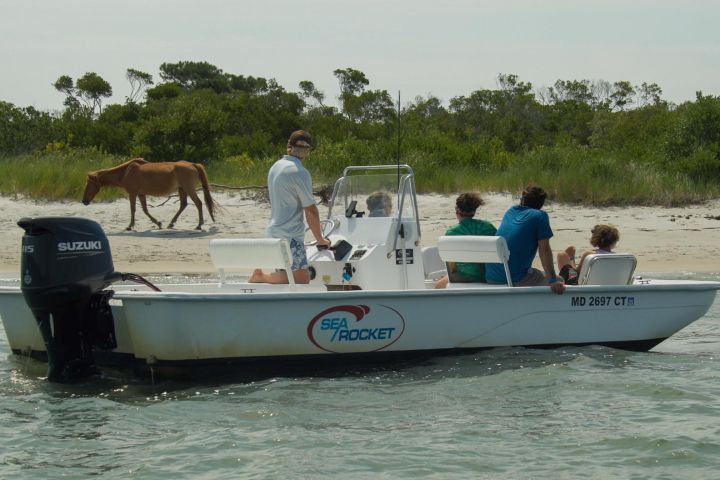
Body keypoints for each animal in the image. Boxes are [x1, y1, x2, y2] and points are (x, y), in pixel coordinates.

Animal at [82, 158, 218, 231]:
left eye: (89, 184)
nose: (84, 201)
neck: (126, 172)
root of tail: (193, 164)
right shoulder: (141, 194)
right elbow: (145, 210)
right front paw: (158, 223)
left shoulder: (133, 193)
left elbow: (133, 209)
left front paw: (130, 226)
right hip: (182, 189)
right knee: (183, 205)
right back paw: (171, 223)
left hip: (189, 189)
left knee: (198, 203)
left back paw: (199, 225)